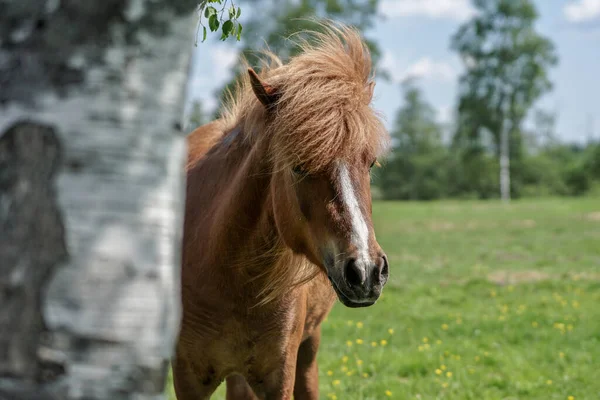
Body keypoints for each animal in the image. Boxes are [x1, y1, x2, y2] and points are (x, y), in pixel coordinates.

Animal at [173, 22, 390, 400]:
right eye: (299, 166)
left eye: (370, 162)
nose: (366, 272)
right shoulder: (187, 379)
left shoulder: (279, 376)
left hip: (308, 349)